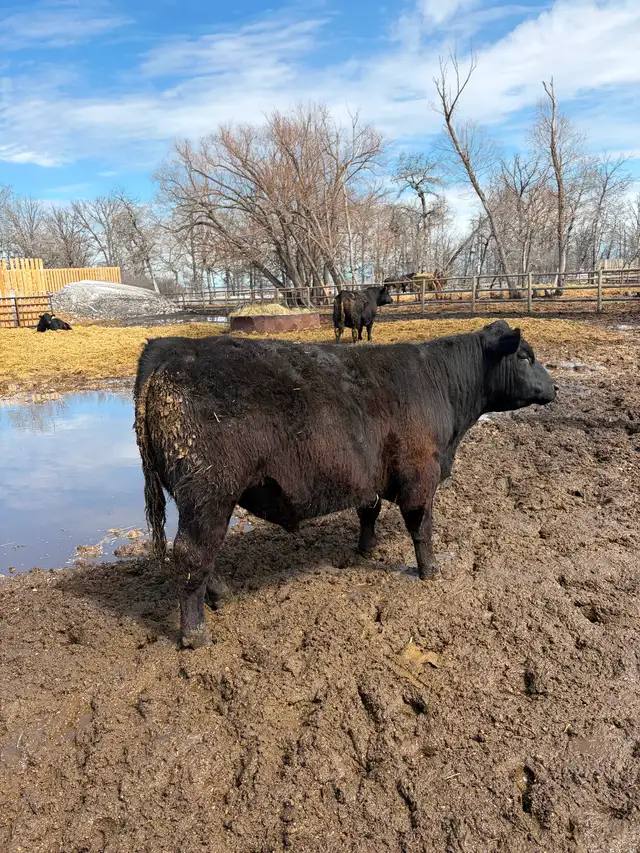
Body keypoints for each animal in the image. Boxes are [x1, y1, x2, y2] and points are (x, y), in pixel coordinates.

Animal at [134, 320, 557, 648]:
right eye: (525, 356)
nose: (554, 389)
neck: (440, 383)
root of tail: (169, 347)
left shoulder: (366, 474)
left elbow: (369, 510)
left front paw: (366, 549)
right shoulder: (420, 473)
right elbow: (421, 526)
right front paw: (430, 570)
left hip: (206, 499)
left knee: (205, 554)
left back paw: (222, 594)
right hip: (208, 492)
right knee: (192, 554)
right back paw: (195, 633)